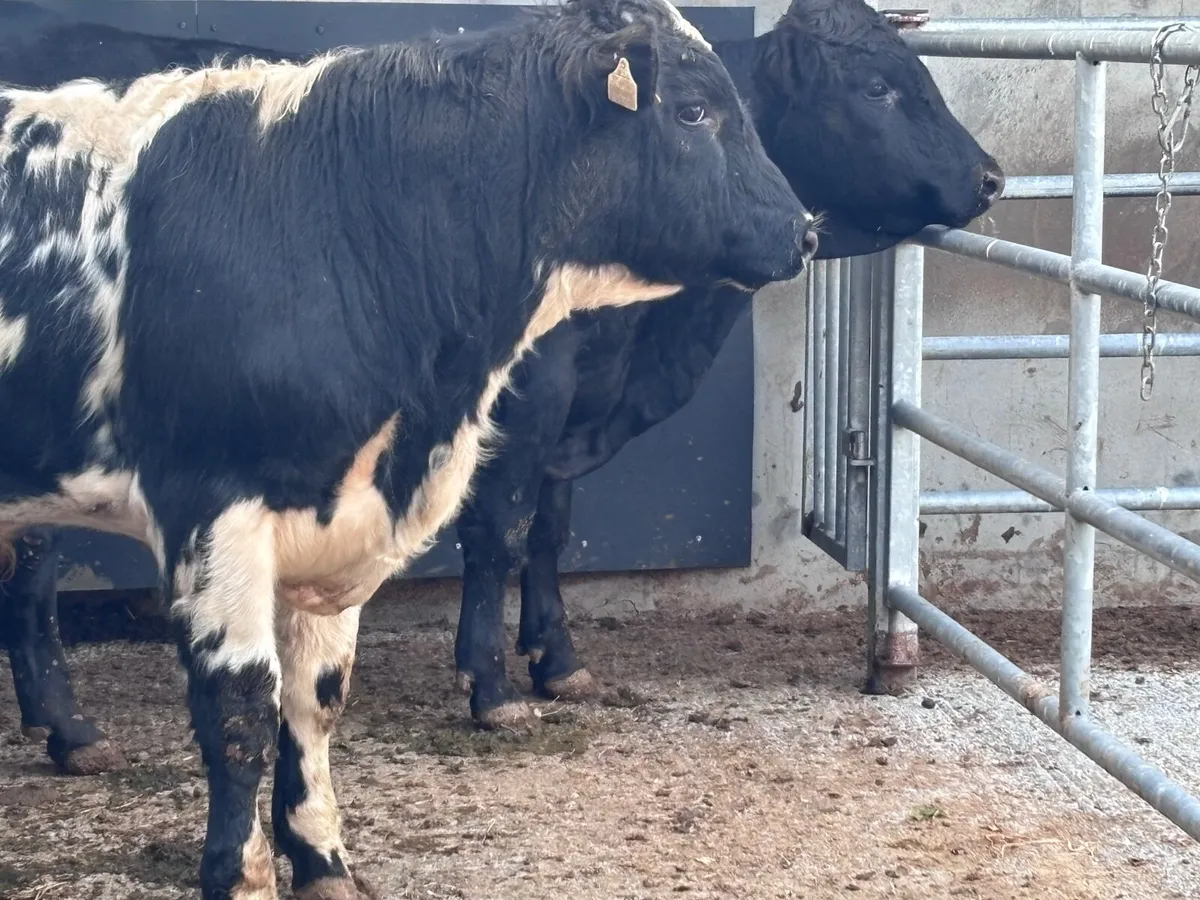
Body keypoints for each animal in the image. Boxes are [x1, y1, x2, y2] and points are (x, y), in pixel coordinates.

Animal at [0, 1, 815, 897]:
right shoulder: (210, 509)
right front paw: (241, 871)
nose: (804, 231)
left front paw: (322, 856)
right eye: (694, 111)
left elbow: (314, 701)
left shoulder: (340, 518)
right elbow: (241, 710)